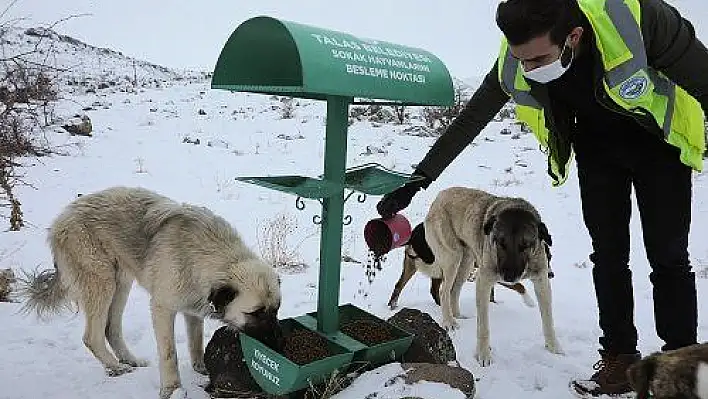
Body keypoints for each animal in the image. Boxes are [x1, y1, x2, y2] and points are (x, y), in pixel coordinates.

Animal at [17, 188, 282, 399]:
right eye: (255, 313)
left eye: (275, 310)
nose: (277, 341)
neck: (204, 256)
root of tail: (62, 217)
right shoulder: (162, 308)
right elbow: (169, 354)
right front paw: (172, 389)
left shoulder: (192, 308)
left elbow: (195, 341)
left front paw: (201, 367)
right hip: (102, 282)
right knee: (92, 336)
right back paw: (115, 367)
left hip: (121, 282)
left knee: (111, 328)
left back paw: (129, 359)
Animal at [420, 186, 564, 368]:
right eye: (501, 243)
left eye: (525, 245)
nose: (508, 277)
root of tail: (439, 196)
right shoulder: (484, 281)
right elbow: (483, 327)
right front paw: (483, 355)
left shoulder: (541, 282)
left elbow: (548, 319)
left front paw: (554, 348)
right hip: (453, 258)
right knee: (444, 290)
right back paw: (449, 322)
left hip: (466, 262)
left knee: (454, 290)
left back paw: (457, 315)